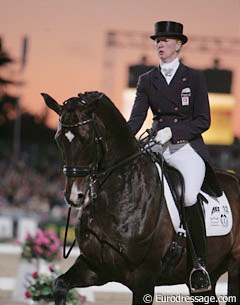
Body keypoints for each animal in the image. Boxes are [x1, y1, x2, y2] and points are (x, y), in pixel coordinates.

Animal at [41, 91, 240, 304]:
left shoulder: (145, 275)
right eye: (58, 139)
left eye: (86, 139)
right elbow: (59, 284)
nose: (74, 195)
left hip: (234, 267)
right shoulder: (95, 267)